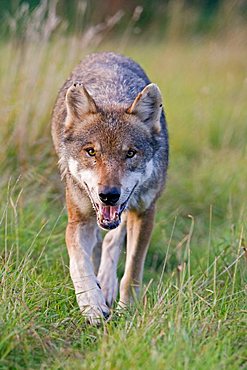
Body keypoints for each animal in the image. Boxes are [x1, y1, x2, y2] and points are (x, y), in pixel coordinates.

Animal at [51, 52, 169, 324]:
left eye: (130, 153)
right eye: (91, 152)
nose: (108, 196)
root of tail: (108, 53)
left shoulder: (145, 212)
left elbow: (133, 270)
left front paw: (127, 309)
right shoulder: (79, 220)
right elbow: (79, 263)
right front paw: (92, 305)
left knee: (111, 241)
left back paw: (106, 283)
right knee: (97, 245)